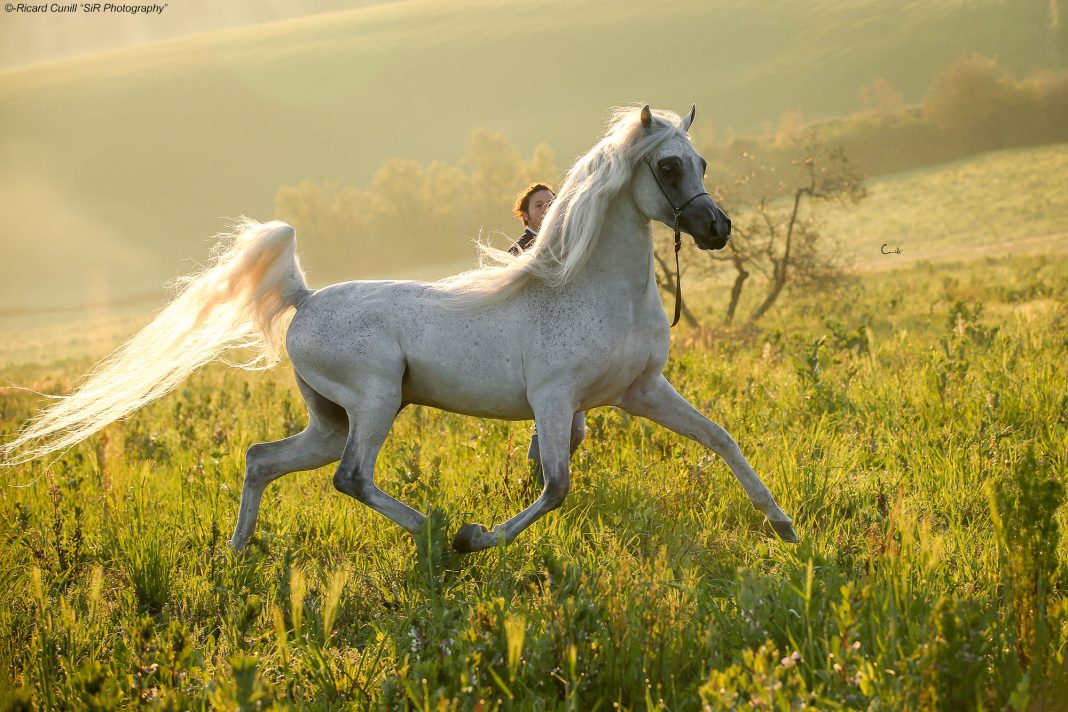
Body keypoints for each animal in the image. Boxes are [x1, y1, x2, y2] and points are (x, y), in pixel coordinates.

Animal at [3, 104, 798, 553]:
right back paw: (437, 535)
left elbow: (720, 438)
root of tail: (304, 299)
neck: (594, 290)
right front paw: (478, 538)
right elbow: (557, 486)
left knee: (264, 458)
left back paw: (238, 551)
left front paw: (783, 526)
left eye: (700, 160)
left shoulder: (641, 392)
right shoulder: (554, 402)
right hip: (377, 400)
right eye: (667, 166)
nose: (717, 229)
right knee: (351, 477)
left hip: (330, 418)